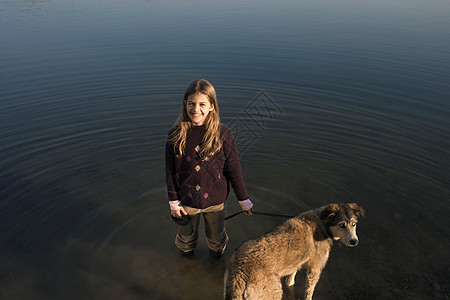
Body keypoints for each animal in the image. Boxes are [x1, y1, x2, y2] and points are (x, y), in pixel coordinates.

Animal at [223, 203, 364, 298]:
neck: (322, 223)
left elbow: (291, 279)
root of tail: (240, 272)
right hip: (272, 293)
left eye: (354, 224)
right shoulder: (315, 269)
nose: (354, 241)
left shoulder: (296, 263)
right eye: (341, 225)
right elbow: (309, 291)